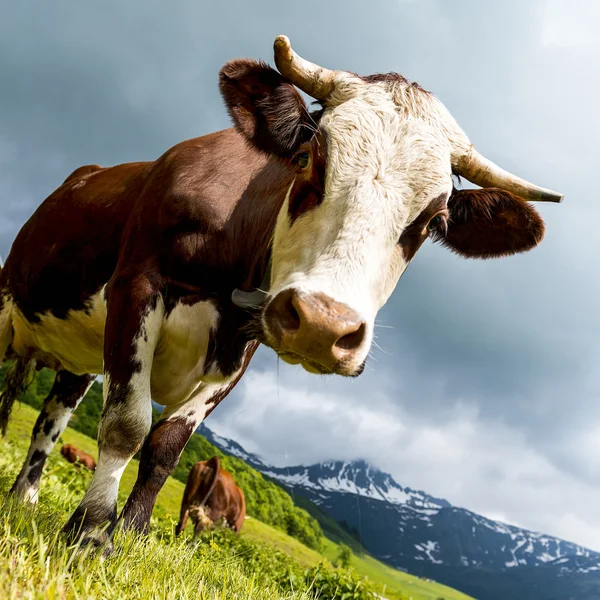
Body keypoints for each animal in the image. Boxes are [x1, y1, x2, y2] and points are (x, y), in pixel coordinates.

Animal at [0, 31, 564, 548]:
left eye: (434, 220)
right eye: (308, 158)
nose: (322, 325)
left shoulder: (242, 346)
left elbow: (166, 444)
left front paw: (129, 537)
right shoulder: (137, 286)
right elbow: (127, 424)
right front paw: (90, 531)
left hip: (79, 359)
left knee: (50, 416)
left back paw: (24, 498)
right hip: (10, 305)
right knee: (10, 393)